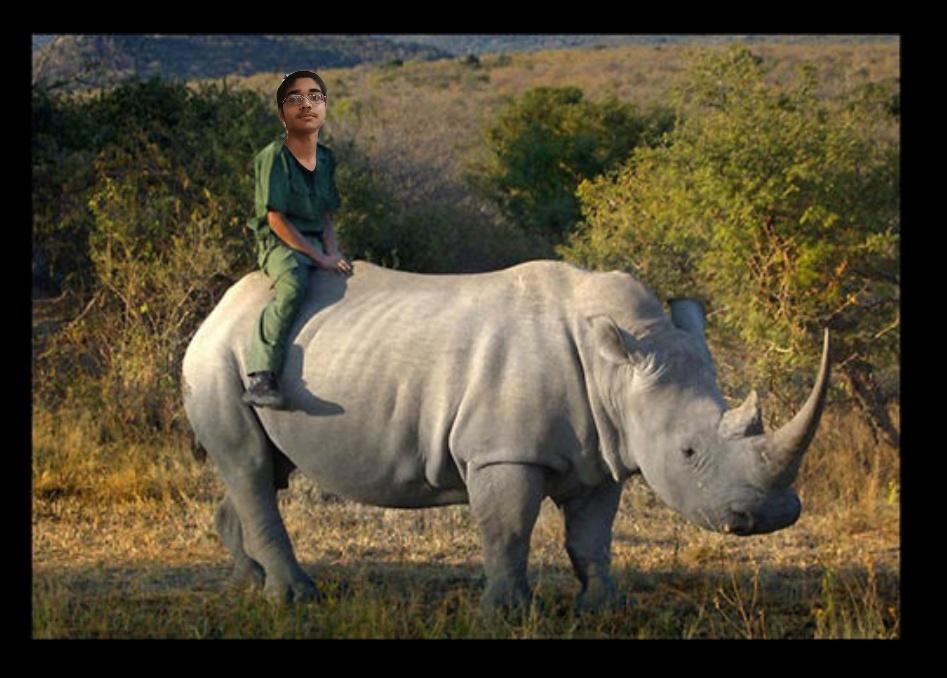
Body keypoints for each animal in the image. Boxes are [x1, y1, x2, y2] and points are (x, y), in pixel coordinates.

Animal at [182, 260, 830, 610]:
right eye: (689, 452)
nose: (773, 517)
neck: (620, 365)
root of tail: (218, 309)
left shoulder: (607, 451)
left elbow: (591, 537)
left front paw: (602, 606)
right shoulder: (502, 453)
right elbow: (509, 530)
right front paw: (508, 613)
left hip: (253, 355)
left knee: (263, 470)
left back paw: (247, 582)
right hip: (218, 358)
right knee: (249, 465)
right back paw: (295, 597)